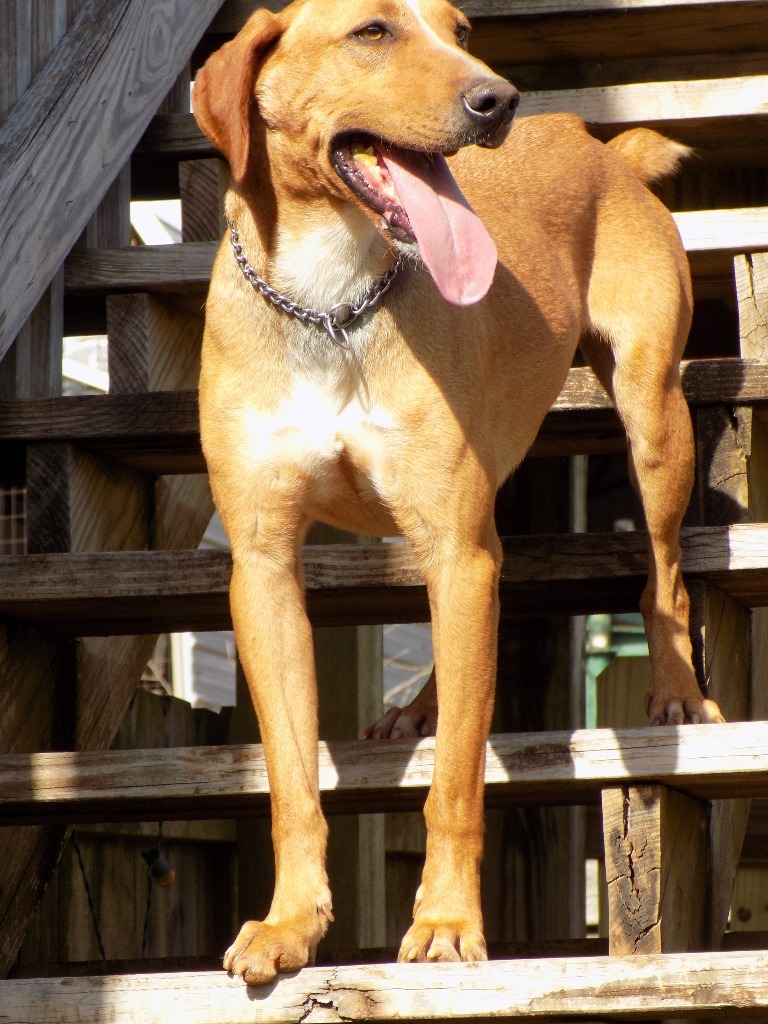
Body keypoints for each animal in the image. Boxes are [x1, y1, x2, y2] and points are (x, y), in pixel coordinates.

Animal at [191, 2, 720, 991]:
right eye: (371, 32)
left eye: (461, 27)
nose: (497, 99)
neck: (333, 300)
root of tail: (598, 145)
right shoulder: (265, 569)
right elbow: (291, 779)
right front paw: (291, 923)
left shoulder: (457, 549)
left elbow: (456, 785)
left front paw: (443, 922)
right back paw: (422, 705)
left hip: (651, 415)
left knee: (664, 572)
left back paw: (674, 688)